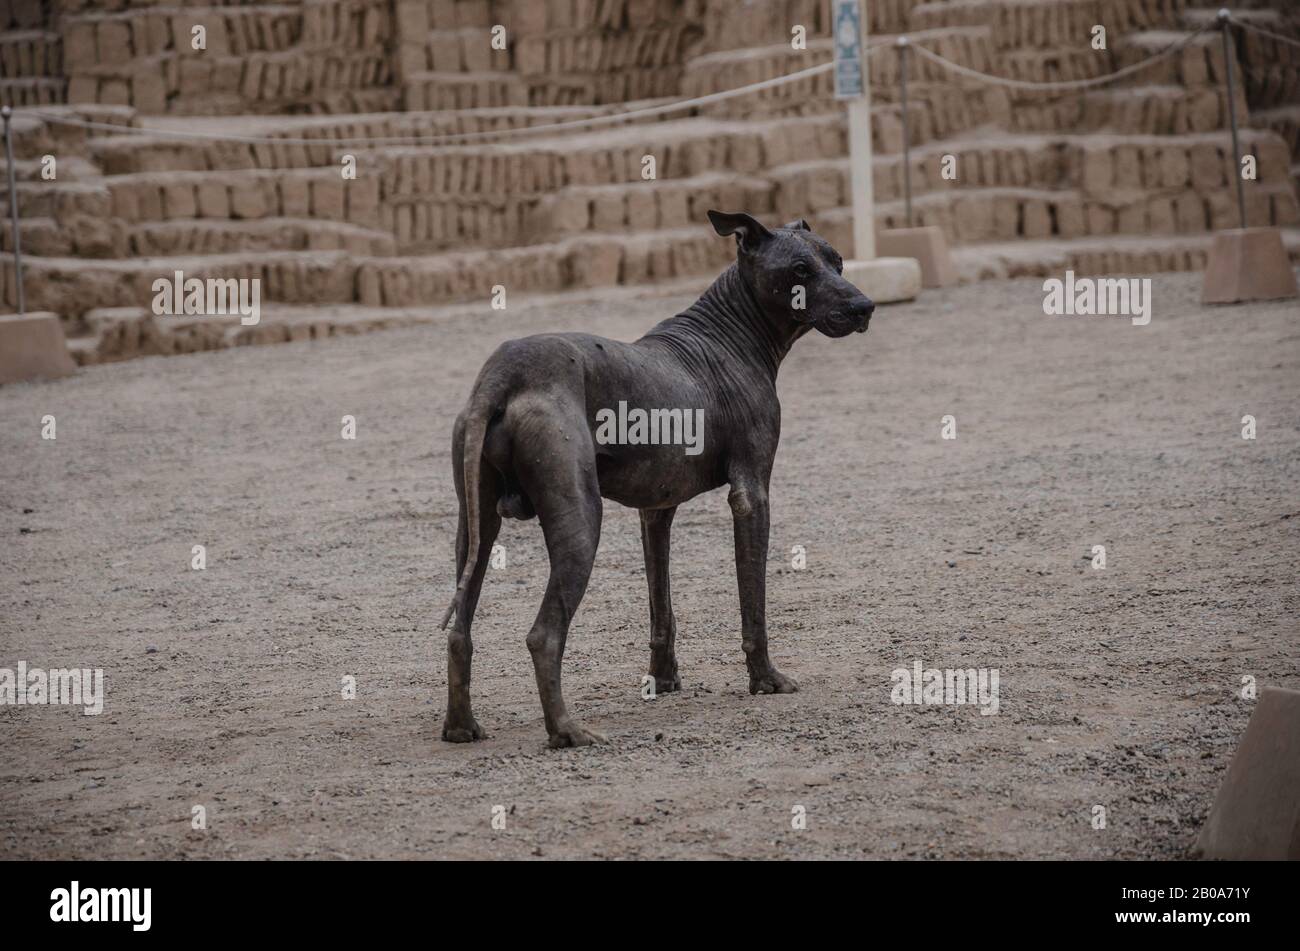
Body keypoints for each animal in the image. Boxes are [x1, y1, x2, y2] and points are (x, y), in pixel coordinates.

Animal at [439, 210, 873, 748]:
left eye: (838, 261)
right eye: (799, 270)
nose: (865, 307)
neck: (732, 334)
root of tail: (503, 371)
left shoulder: (655, 512)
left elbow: (661, 605)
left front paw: (663, 681)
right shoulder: (752, 495)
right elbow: (753, 604)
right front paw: (765, 679)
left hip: (474, 528)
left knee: (459, 630)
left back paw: (461, 726)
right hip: (580, 522)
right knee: (544, 635)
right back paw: (566, 731)